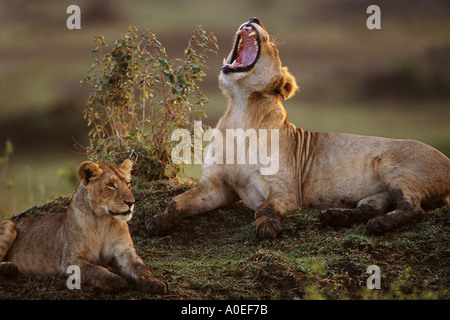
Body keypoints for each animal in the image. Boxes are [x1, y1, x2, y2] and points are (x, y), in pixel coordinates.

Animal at [0, 160, 167, 296]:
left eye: (128, 184)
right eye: (110, 185)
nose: (131, 202)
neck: (103, 220)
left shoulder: (123, 252)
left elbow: (140, 267)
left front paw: (154, 282)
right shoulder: (70, 261)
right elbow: (95, 270)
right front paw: (117, 282)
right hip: (9, 224)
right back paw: (9, 268)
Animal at [146, 17, 448, 238]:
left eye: (273, 45)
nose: (255, 18)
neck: (241, 110)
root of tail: (446, 159)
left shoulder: (286, 190)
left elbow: (266, 207)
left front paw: (266, 227)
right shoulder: (217, 185)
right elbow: (181, 200)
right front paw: (158, 221)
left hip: (393, 166)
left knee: (412, 207)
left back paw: (377, 225)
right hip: (376, 194)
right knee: (372, 207)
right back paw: (335, 217)